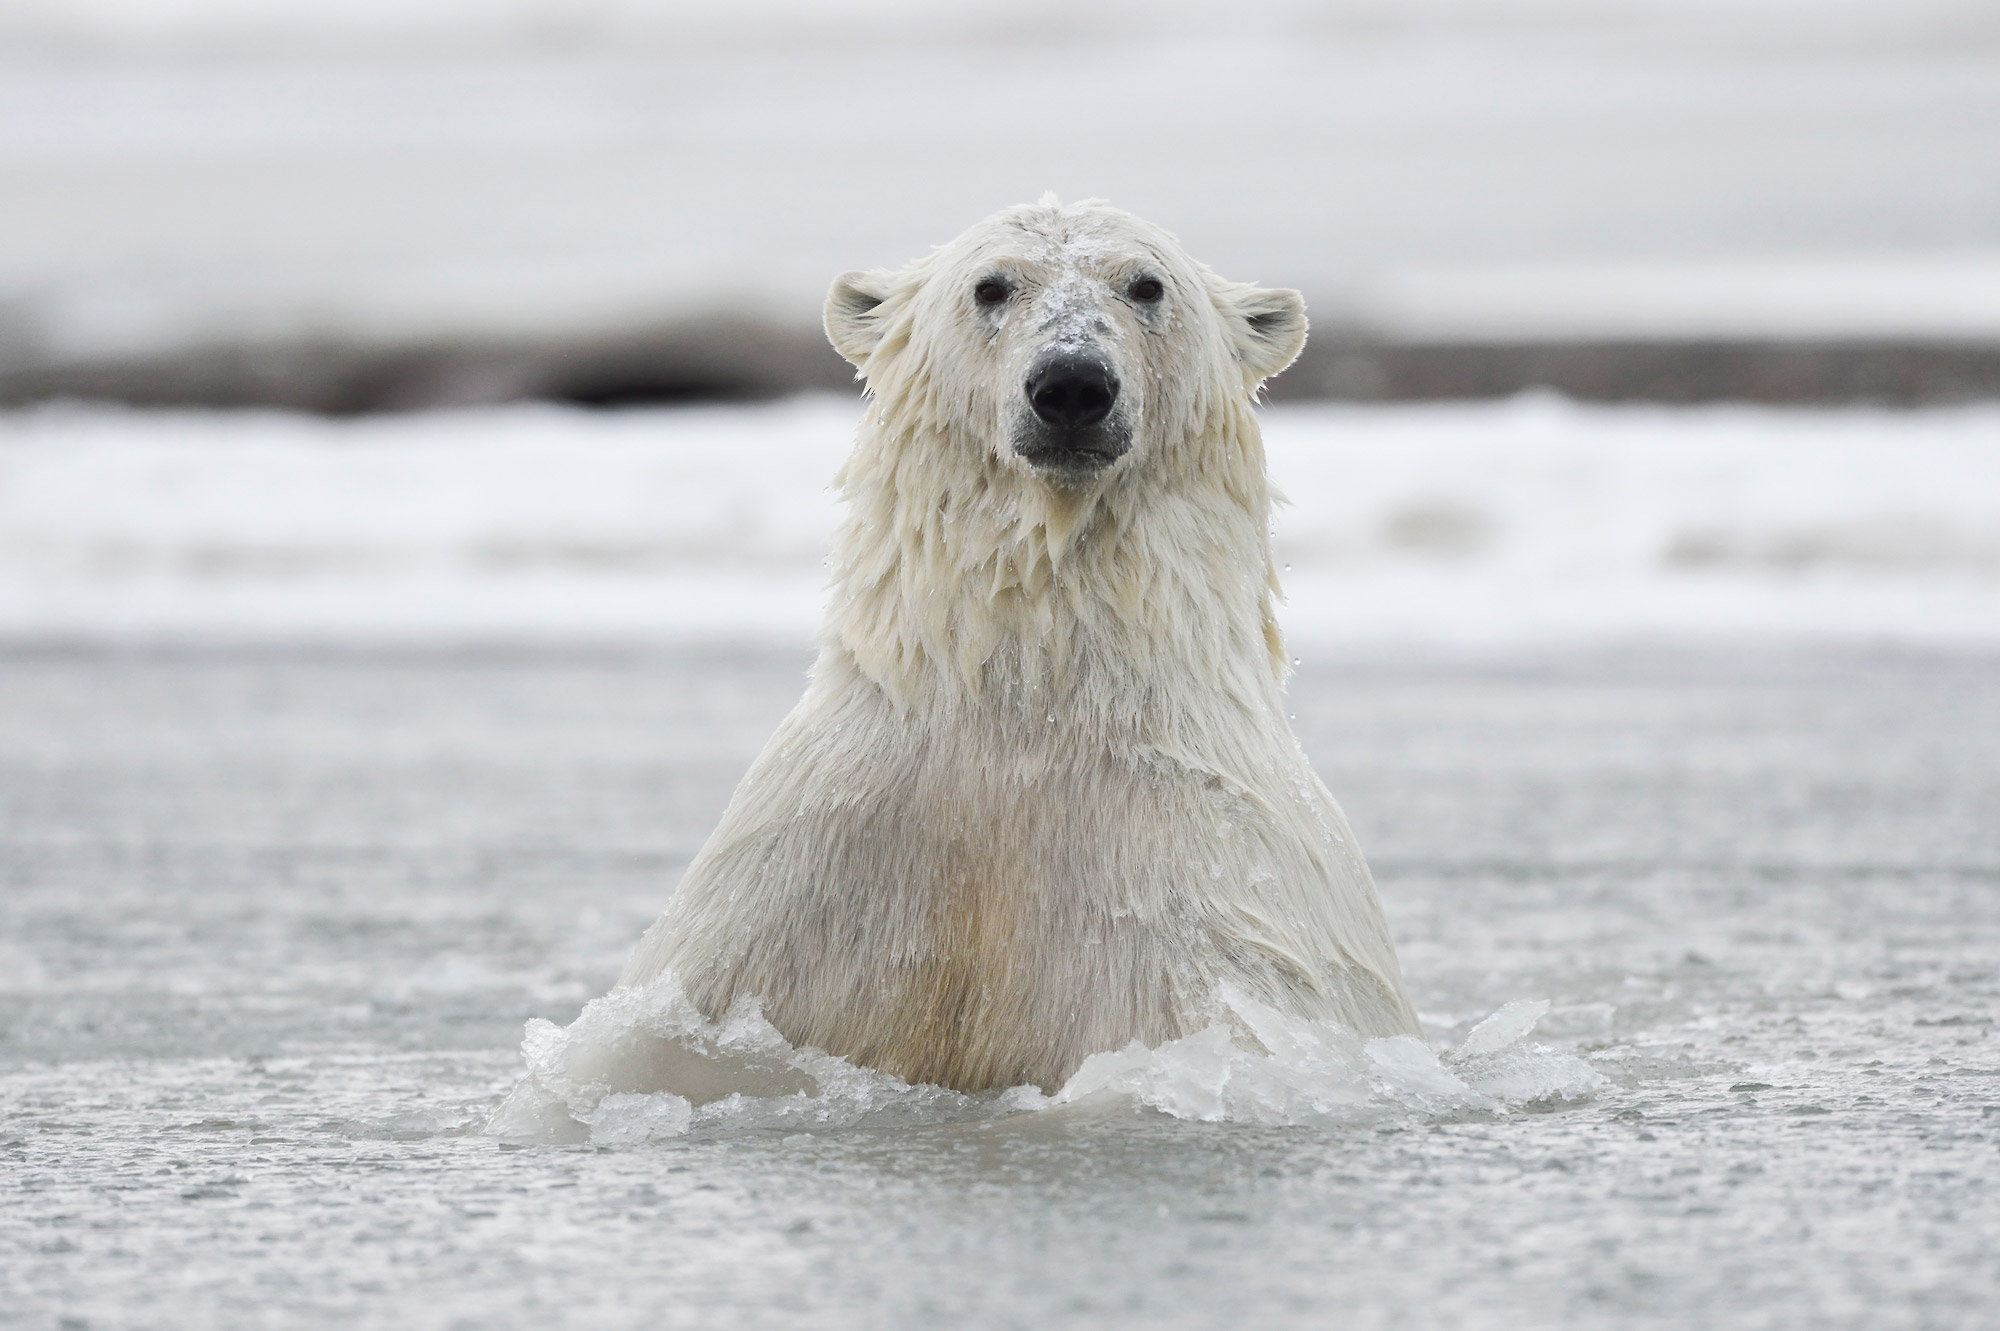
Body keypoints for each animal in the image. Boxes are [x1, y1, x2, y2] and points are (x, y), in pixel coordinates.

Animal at [624, 196, 1424, 1087]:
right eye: (991, 285)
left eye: (1146, 284)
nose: (1072, 383)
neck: (1029, 707)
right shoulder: (795, 901)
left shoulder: (1212, 909)